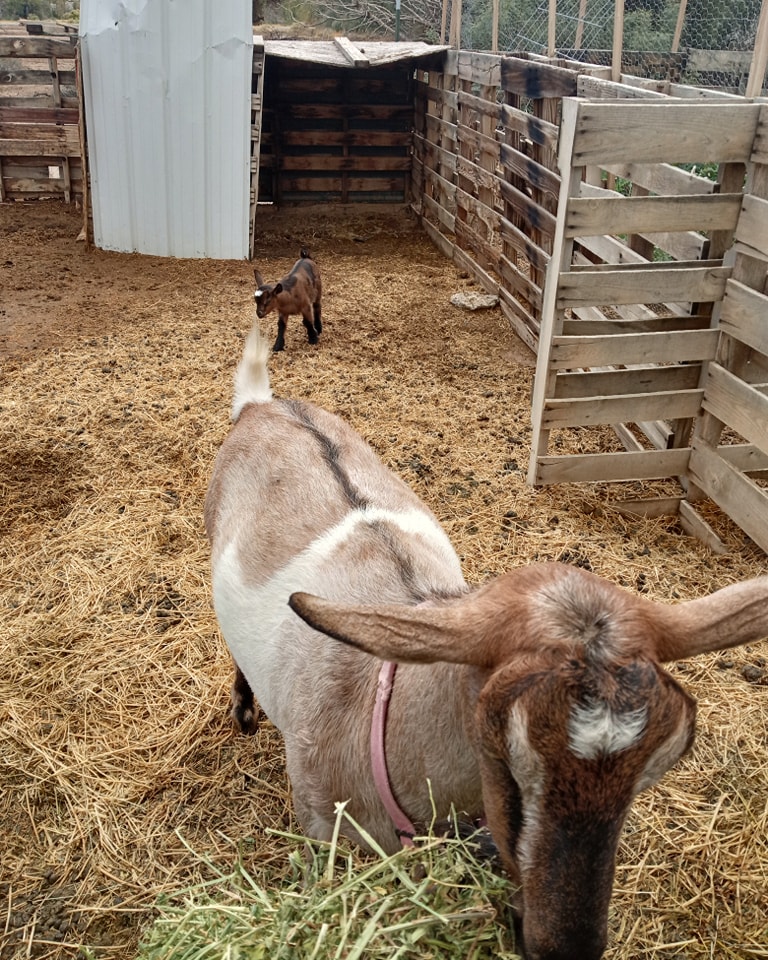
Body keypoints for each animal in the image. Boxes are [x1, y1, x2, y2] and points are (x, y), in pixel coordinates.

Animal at [204, 323, 768, 960]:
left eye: (656, 769)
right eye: (502, 758)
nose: (563, 946)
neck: (378, 706)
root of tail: (262, 404)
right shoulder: (322, 825)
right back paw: (245, 710)